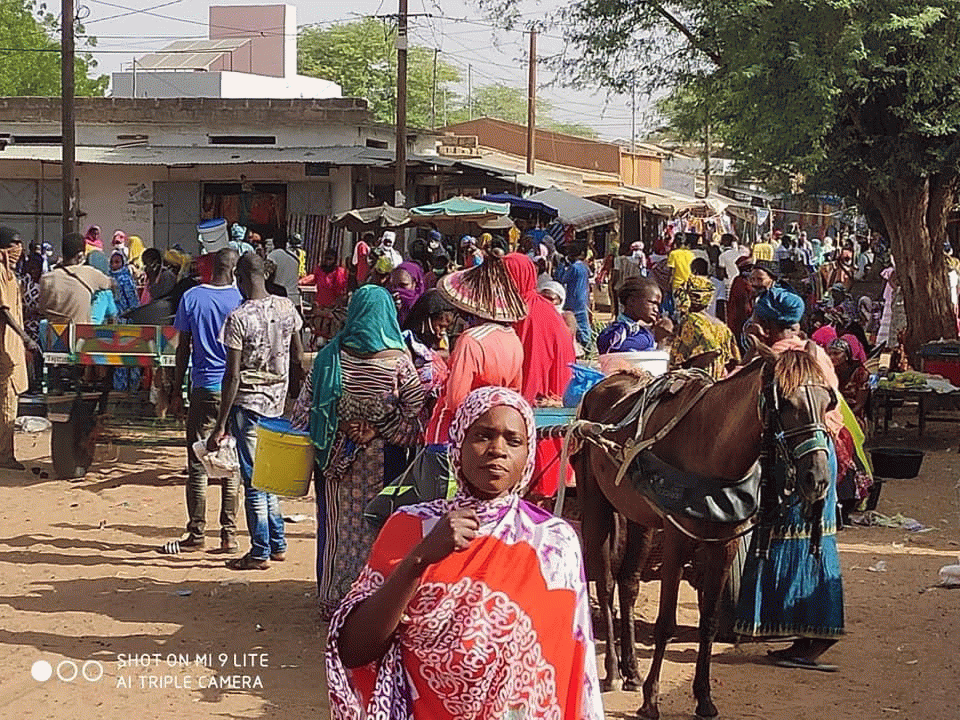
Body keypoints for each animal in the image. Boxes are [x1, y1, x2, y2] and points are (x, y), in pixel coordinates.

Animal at [572, 346, 836, 716]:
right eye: (785, 403)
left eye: (828, 401)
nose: (818, 477)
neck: (713, 448)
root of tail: (603, 386)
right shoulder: (677, 539)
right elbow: (665, 623)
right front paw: (651, 700)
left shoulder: (723, 544)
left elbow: (709, 622)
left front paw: (704, 696)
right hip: (597, 506)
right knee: (607, 585)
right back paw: (611, 670)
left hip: (639, 517)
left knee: (628, 584)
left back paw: (631, 670)